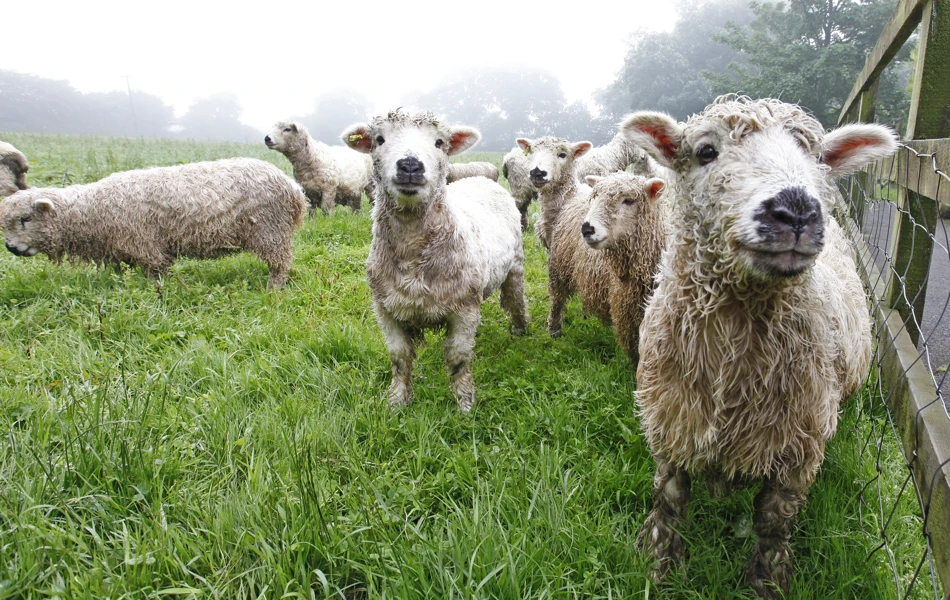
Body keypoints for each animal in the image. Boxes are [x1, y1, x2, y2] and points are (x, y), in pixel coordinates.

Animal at [1, 158, 306, 289]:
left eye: (25, 219)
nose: (11, 248)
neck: (91, 210)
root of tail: (293, 188)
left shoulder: (145, 246)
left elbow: (156, 276)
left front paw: (157, 295)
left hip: (270, 230)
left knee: (279, 265)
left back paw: (273, 290)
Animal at [342, 109, 528, 411]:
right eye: (379, 139)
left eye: (439, 142)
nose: (410, 165)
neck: (412, 250)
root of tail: (482, 179)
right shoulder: (385, 309)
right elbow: (399, 359)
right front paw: (397, 403)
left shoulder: (464, 309)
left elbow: (458, 358)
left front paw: (464, 404)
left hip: (516, 266)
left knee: (516, 298)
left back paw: (520, 328)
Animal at [621, 96, 895, 598]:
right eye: (706, 151)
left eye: (817, 156)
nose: (797, 209)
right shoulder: (670, 422)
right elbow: (669, 500)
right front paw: (659, 565)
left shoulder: (799, 446)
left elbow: (773, 522)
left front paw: (767, 582)